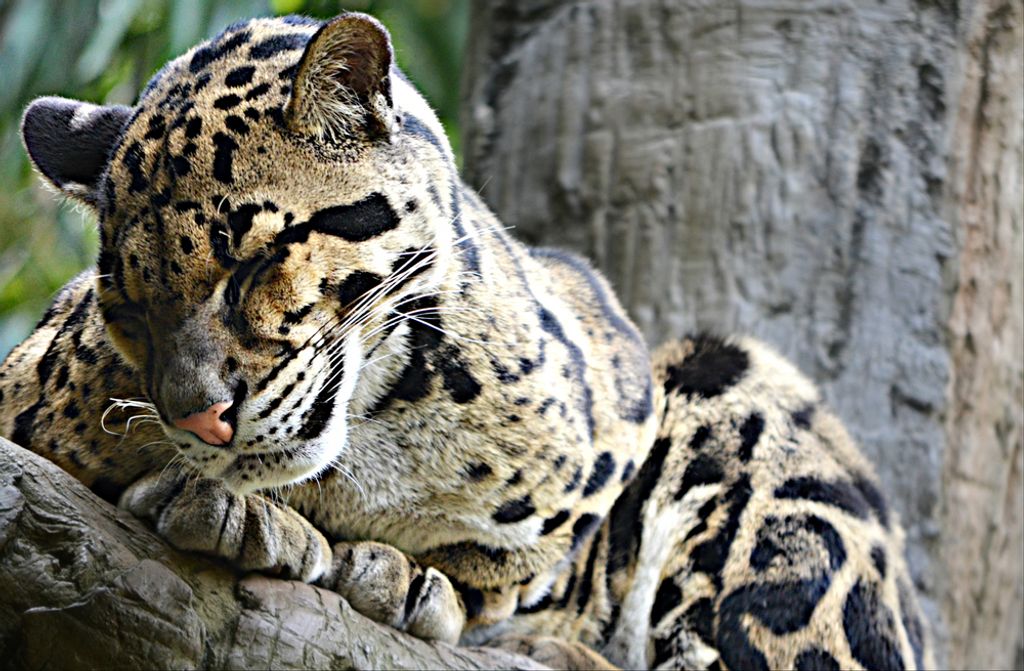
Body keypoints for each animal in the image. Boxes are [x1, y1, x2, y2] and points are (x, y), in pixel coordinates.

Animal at [0, 12, 933, 670]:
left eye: (256, 261)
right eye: (130, 312)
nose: (199, 419)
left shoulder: (616, 376)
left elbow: (521, 560)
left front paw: (403, 576)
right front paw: (244, 510)